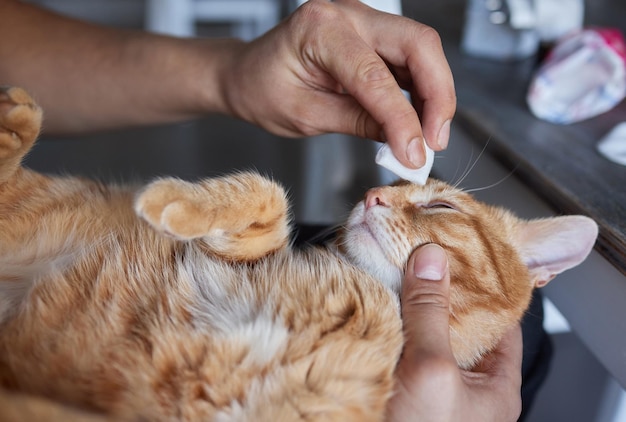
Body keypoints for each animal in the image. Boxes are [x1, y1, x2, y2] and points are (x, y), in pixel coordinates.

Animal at [0, 87, 596, 420]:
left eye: (441, 205)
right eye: (384, 186)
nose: (370, 196)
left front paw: (168, 201)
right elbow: (271, 199)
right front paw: (184, 202)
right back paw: (16, 115)